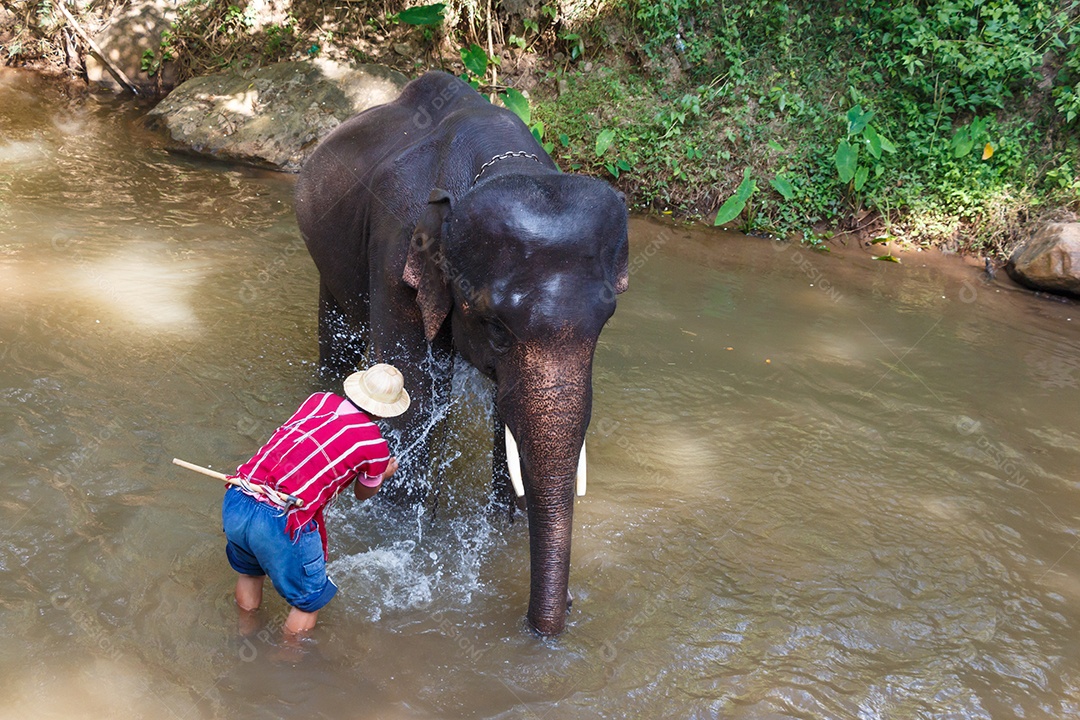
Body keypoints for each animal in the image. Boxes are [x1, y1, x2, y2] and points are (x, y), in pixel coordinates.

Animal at [294, 71, 628, 636]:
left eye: (606, 322)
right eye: (493, 325)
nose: (561, 612)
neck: (500, 168)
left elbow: (505, 422)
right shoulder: (397, 252)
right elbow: (417, 397)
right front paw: (399, 527)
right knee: (337, 340)